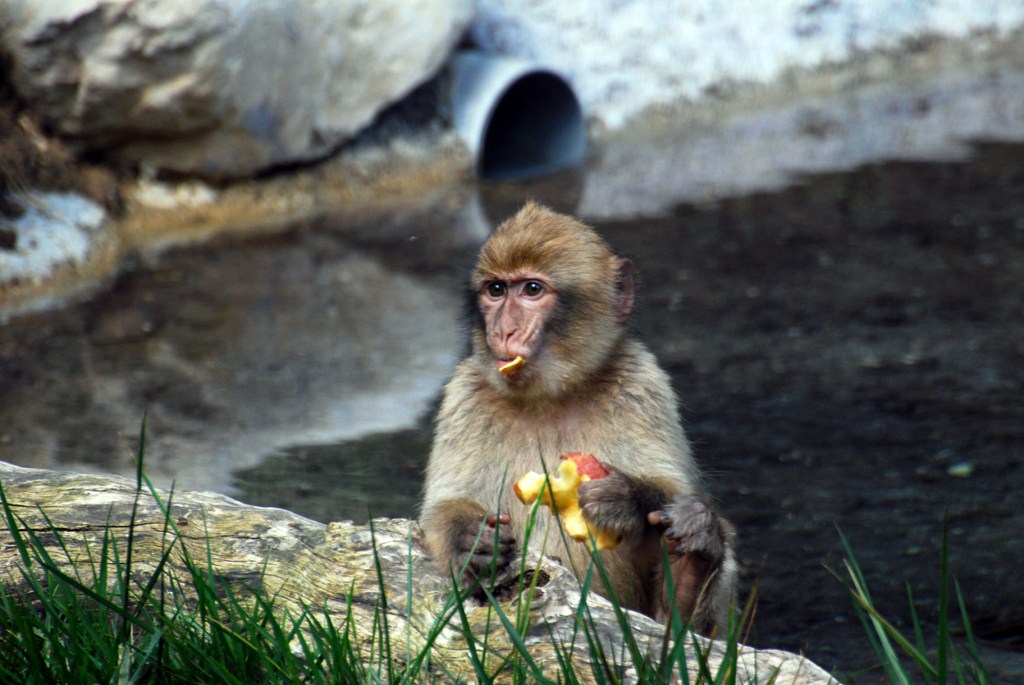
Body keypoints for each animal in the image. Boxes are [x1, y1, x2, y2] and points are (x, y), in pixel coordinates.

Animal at [419, 201, 737, 634]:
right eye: (496, 290)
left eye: (532, 290)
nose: (504, 330)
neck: (550, 398)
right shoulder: (463, 397)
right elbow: (440, 510)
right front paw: (468, 539)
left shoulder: (643, 381)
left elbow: (672, 489)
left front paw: (625, 497)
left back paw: (691, 575)